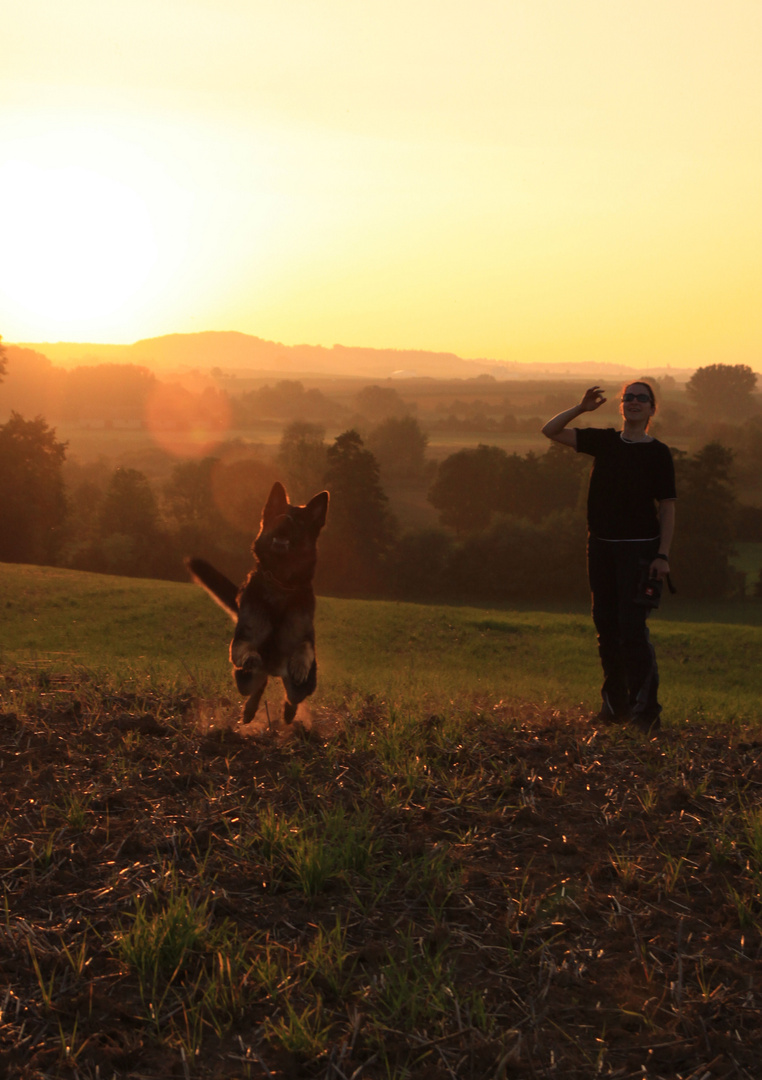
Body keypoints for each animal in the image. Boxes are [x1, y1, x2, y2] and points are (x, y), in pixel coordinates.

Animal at [185, 483, 328, 725]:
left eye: (300, 521)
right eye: (278, 514)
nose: (284, 520)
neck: (280, 583)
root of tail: (274, 669)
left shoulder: (306, 637)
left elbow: (304, 648)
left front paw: (299, 665)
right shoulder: (242, 639)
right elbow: (245, 648)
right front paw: (251, 657)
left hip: (302, 685)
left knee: (292, 696)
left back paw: (288, 713)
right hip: (244, 679)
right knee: (258, 682)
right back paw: (251, 708)